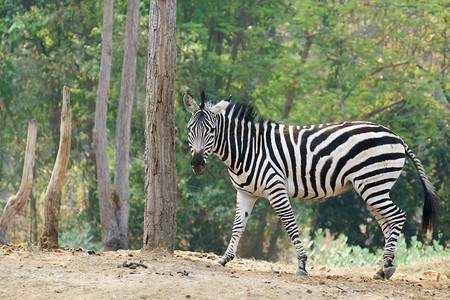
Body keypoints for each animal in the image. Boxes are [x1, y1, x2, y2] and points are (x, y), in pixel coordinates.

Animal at [181, 91, 438, 278]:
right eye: (190, 129)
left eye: (212, 130)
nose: (197, 164)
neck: (247, 149)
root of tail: (397, 137)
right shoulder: (245, 193)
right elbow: (237, 227)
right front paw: (224, 259)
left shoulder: (276, 189)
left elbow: (290, 226)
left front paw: (302, 266)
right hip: (375, 187)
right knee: (387, 222)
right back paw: (384, 266)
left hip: (373, 184)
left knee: (397, 216)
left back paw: (386, 266)